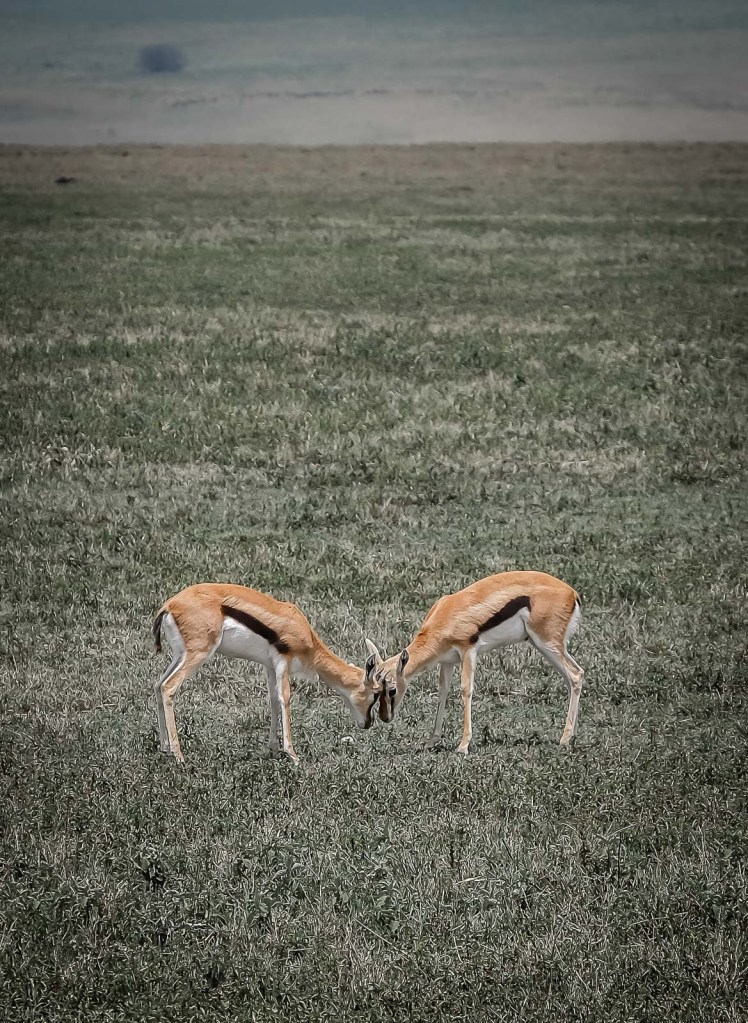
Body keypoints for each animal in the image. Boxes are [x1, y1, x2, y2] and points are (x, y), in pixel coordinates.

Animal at [152, 583, 385, 764]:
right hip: (199, 654)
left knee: (158, 685)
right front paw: (293, 755)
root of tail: (170, 605)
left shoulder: (270, 665)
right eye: (375, 694)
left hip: (180, 655)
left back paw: (164, 747)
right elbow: (285, 698)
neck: (305, 634)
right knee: (169, 687)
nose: (368, 723)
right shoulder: (283, 661)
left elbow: (272, 698)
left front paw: (273, 748)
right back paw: (179, 755)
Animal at [367, 571, 584, 753]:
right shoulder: (447, 661)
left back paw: (564, 740)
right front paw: (431, 741)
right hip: (544, 645)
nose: (385, 717)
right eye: (376, 691)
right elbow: (442, 692)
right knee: (574, 677)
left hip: (546, 643)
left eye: (392, 690)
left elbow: (466, 690)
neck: (444, 619)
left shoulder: (468, 651)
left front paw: (463, 746)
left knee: (576, 675)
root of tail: (571, 593)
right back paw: (570, 736)